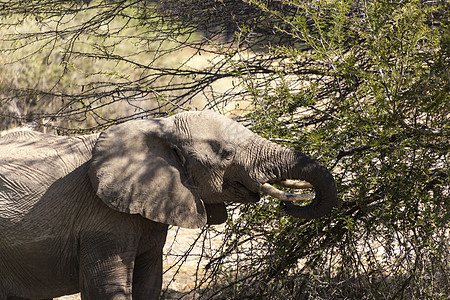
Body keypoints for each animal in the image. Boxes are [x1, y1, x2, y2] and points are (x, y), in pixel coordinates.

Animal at [0, 110, 338, 300]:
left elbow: (149, 283)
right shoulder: (101, 222)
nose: (289, 208)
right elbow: (106, 289)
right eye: (227, 153)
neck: (157, 127)